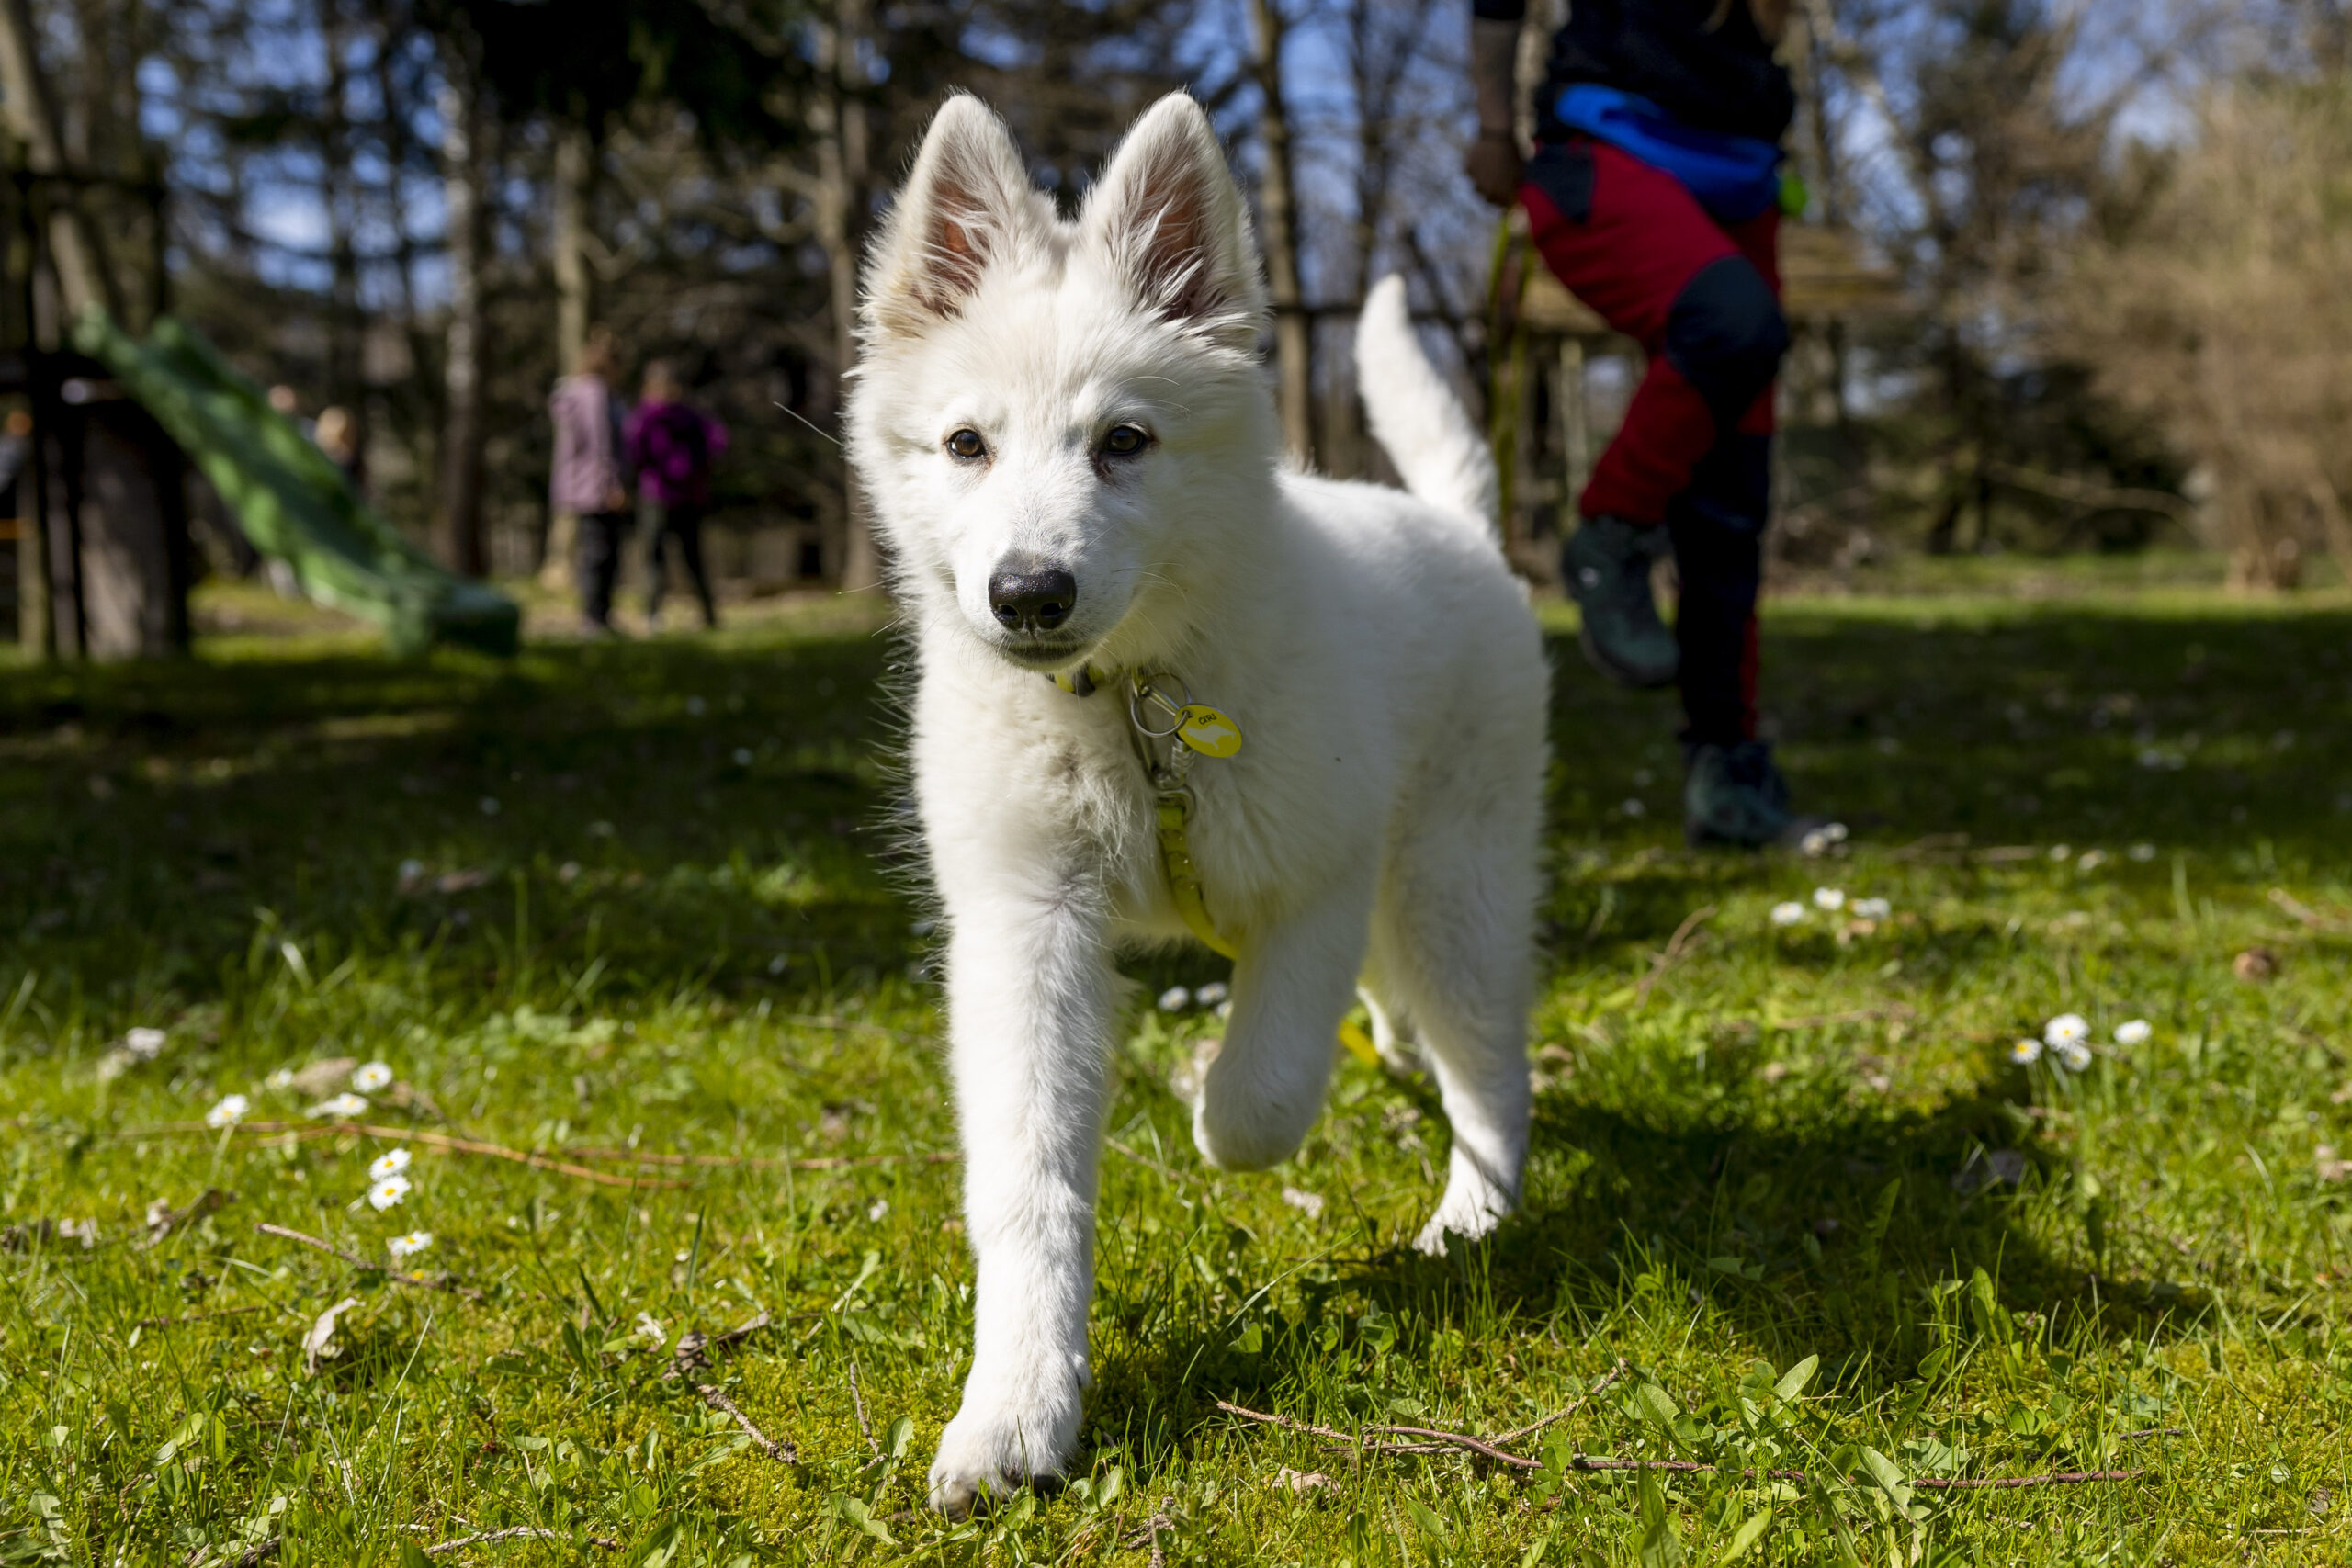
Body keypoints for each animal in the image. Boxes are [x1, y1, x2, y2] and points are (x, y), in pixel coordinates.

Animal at [842, 92, 1543, 1514]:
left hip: (1452, 884)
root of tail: (1456, 526)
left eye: (1125, 442)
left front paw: (1209, 1104)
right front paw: (1014, 1410)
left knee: (1493, 1069)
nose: (1029, 595)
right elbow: (1029, 1183)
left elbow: (1262, 1093)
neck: (1130, 704)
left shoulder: (1316, 881)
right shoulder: (1026, 923)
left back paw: (1466, 1218)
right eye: (965, 444)